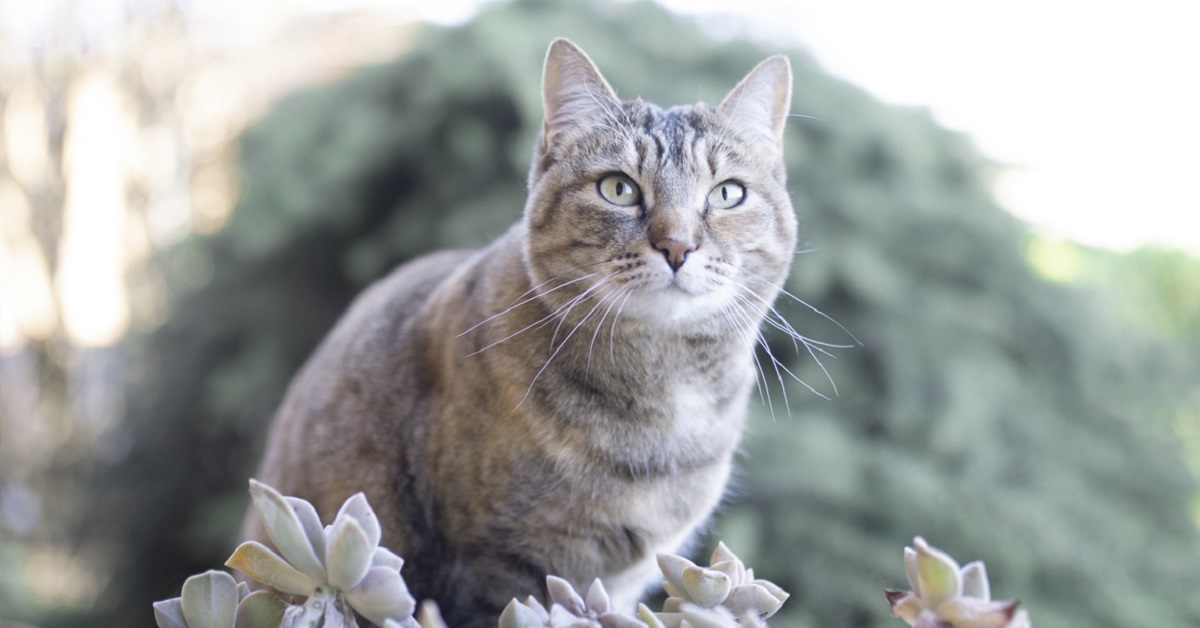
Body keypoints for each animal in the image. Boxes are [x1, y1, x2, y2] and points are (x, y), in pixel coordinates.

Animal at [243, 38, 796, 624]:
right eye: (618, 188)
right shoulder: (493, 568)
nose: (677, 245)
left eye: (727, 194)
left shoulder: (620, 584)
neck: (663, 397)